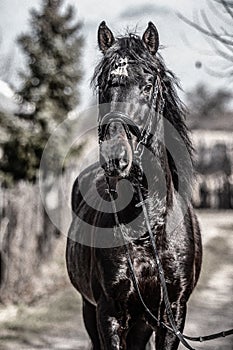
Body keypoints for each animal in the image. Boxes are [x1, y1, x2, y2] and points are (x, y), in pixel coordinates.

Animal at [66, 21, 202, 350]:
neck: (148, 230)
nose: (115, 156)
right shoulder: (109, 314)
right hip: (91, 310)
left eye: (149, 83)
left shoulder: (172, 314)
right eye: (104, 84)